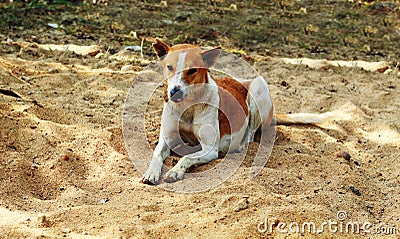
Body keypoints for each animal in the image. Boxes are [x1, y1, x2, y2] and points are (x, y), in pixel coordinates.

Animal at [142, 39, 340, 185]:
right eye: (169, 67)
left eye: (192, 71)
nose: (174, 92)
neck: (188, 107)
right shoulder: (167, 139)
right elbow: (156, 153)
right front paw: (151, 172)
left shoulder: (210, 149)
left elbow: (186, 158)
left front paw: (175, 171)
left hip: (259, 88)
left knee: (251, 133)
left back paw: (241, 145)